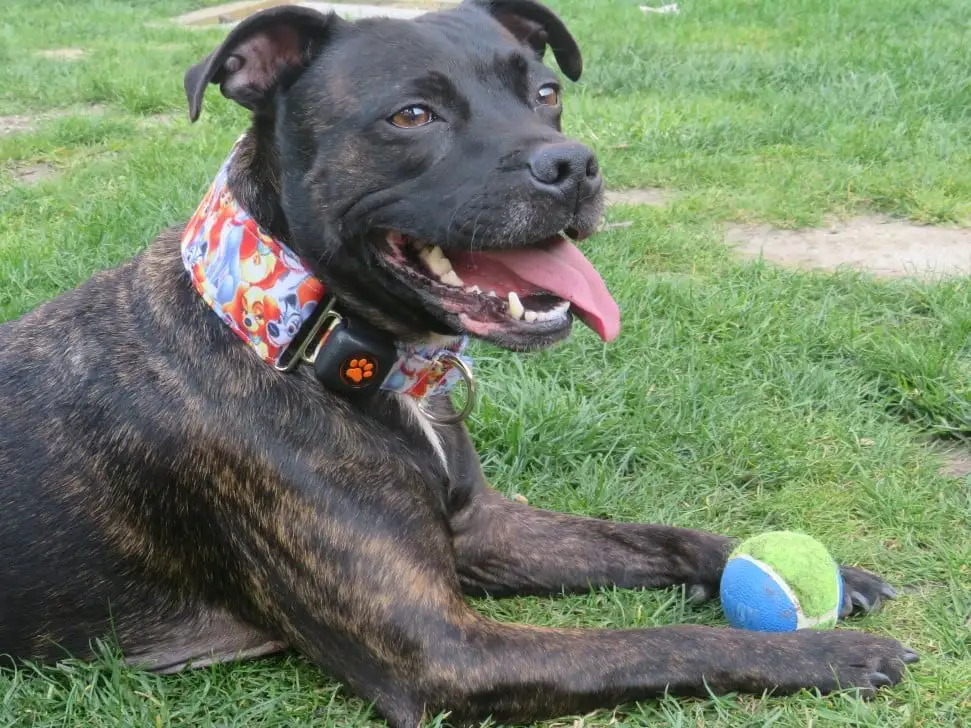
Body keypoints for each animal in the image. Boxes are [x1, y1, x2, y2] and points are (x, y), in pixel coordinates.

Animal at [0, 1, 912, 728]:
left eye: (545, 93)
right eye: (412, 115)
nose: (572, 165)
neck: (296, 331)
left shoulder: (484, 526)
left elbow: (652, 534)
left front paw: (824, 575)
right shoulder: (444, 652)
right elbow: (653, 642)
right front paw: (832, 658)